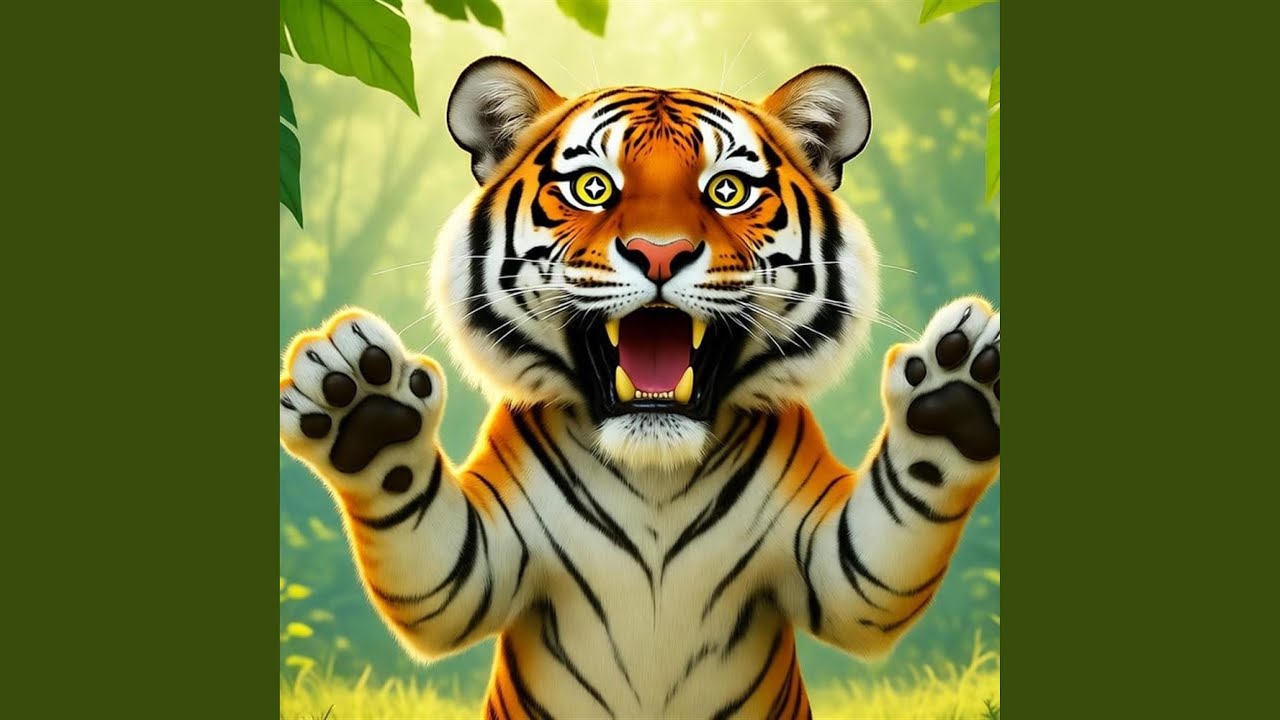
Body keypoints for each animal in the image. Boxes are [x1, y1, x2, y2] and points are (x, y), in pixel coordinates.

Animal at [279, 56, 1000, 719]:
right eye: (593, 187)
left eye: (728, 190)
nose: (659, 253)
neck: (655, 476)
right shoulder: (484, 562)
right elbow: (423, 550)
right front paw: (359, 397)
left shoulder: (826, 559)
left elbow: (891, 540)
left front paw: (961, 387)